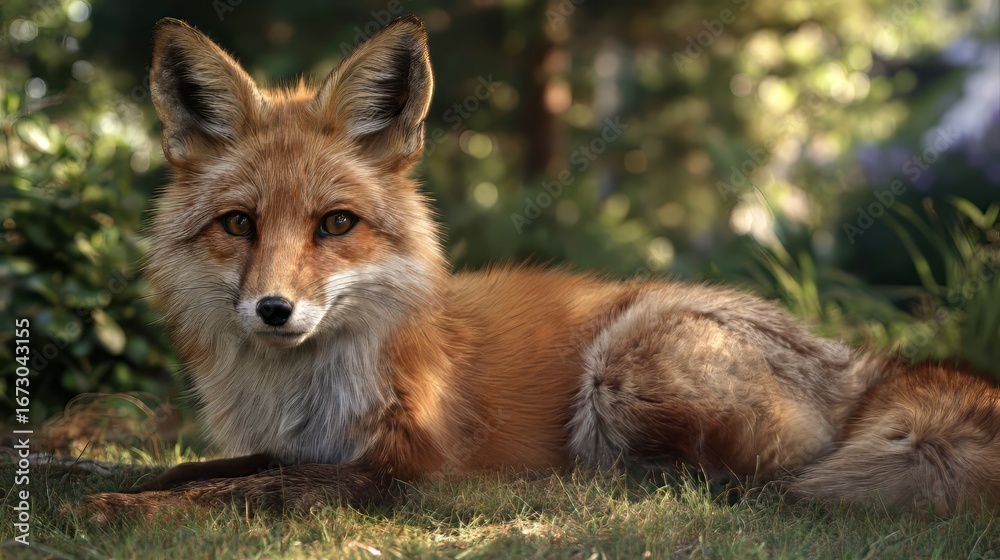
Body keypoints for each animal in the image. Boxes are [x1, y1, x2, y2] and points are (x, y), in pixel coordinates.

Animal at [85, 15, 999, 518]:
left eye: (335, 224)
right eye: (238, 225)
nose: (274, 310)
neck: (306, 386)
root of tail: (861, 365)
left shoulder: (402, 469)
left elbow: (243, 493)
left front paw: (120, 511)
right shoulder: (296, 447)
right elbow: (200, 470)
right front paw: (109, 488)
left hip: (627, 364)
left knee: (749, 479)